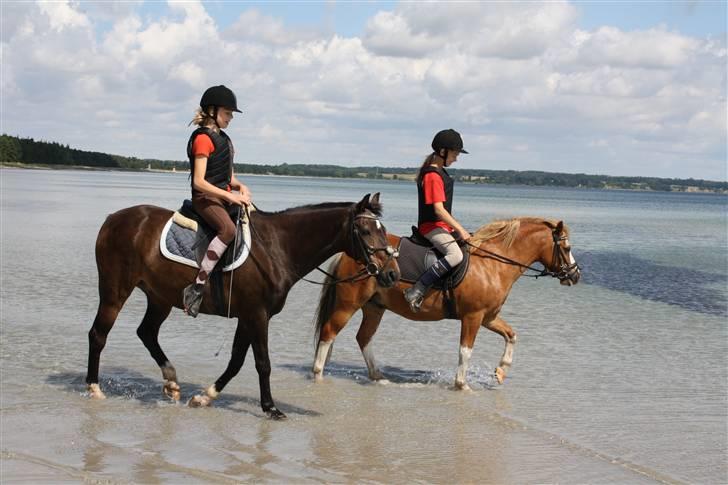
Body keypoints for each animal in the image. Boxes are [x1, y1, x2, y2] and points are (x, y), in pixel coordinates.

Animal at [89, 191, 404, 418]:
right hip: (115, 291)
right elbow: (262, 363)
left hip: (160, 296)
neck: (278, 247)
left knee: (147, 332)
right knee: (98, 334)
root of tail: (113, 219)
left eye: (382, 229)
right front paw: (271, 408)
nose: (392, 274)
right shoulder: (257, 314)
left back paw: (171, 381)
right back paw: (94, 388)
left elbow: (236, 360)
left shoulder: (247, 315)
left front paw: (205, 396)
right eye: (365, 231)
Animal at [312, 217, 580, 388]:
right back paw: (318, 375)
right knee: (329, 333)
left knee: (363, 337)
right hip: (348, 305)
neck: (492, 263)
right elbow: (465, 351)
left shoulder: (488, 317)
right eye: (566, 248)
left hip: (374, 307)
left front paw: (501, 370)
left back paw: (378, 376)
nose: (576, 275)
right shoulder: (472, 317)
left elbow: (511, 335)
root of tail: (348, 253)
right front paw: (462, 385)